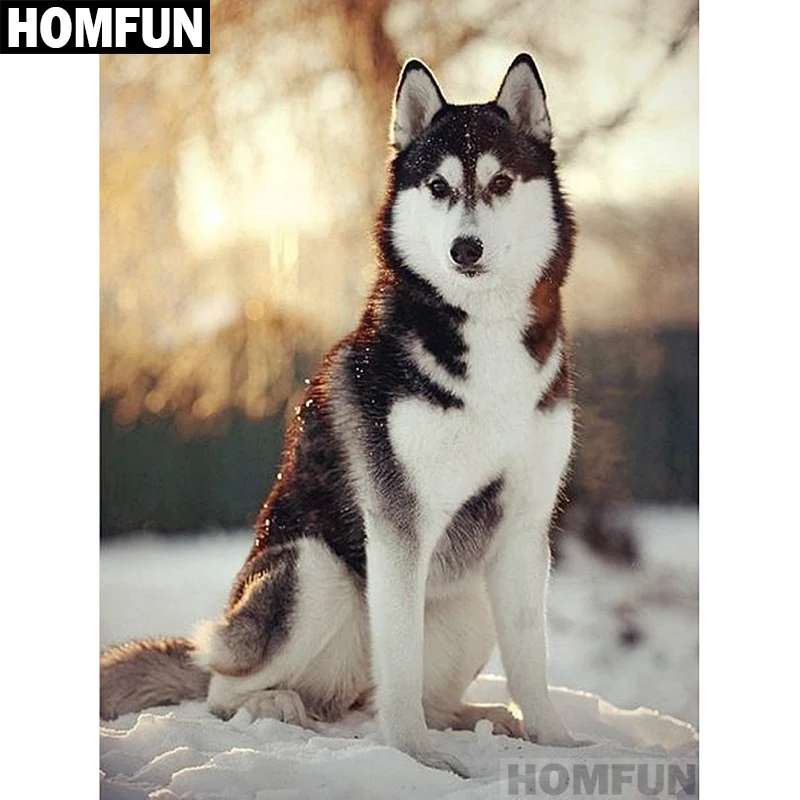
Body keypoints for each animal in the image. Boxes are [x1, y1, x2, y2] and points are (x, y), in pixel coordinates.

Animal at [101, 53, 580, 776]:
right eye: (438, 186)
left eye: (500, 182)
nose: (465, 249)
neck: (485, 335)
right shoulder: (399, 523)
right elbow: (400, 665)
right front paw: (415, 758)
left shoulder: (526, 524)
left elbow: (532, 661)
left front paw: (557, 740)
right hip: (313, 572)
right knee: (225, 688)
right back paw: (278, 705)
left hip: (468, 602)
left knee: (399, 693)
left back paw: (482, 718)